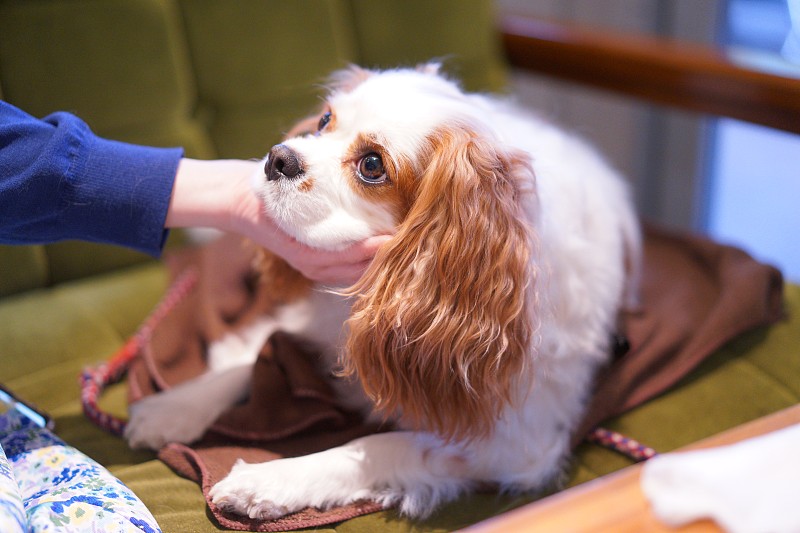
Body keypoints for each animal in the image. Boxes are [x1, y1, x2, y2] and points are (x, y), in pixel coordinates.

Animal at [125, 65, 640, 520]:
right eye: (324, 121)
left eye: (372, 165)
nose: (279, 157)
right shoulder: (317, 319)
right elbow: (253, 358)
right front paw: (173, 408)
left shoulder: (513, 444)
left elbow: (376, 444)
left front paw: (269, 480)